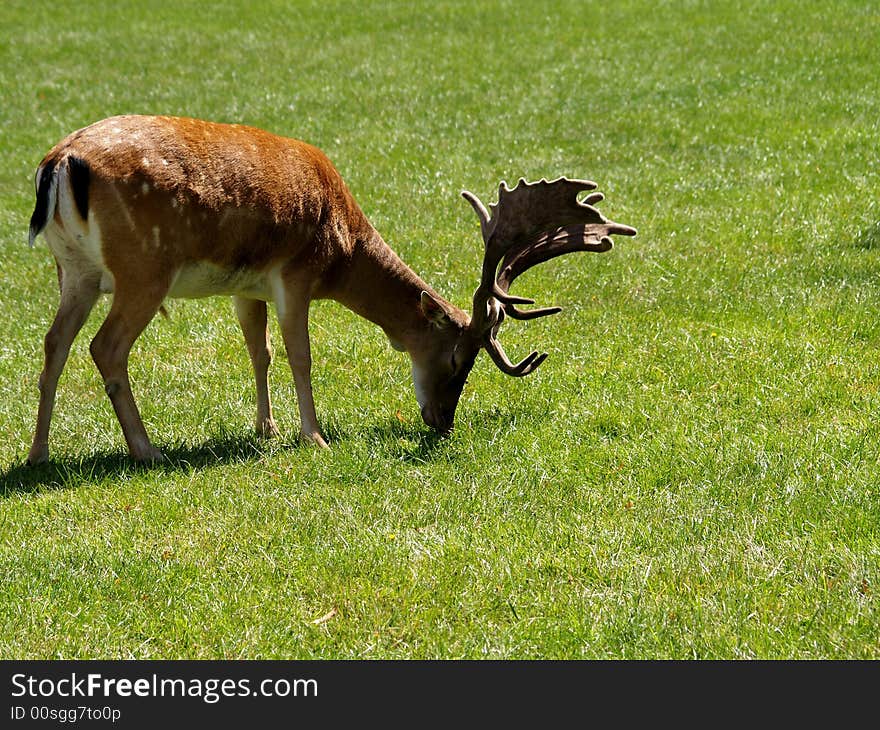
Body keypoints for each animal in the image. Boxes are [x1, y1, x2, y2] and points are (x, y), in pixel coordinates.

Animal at [24, 116, 636, 464]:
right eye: (457, 359)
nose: (442, 421)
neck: (343, 248)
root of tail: (60, 163)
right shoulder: (296, 272)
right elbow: (301, 355)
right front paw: (313, 438)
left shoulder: (248, 285)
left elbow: (260, 352)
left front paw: (267, 430)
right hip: (143, 268)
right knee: (104, 346)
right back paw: (146, 449)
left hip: (73, 269)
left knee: (53, 345)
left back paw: (38, 454)